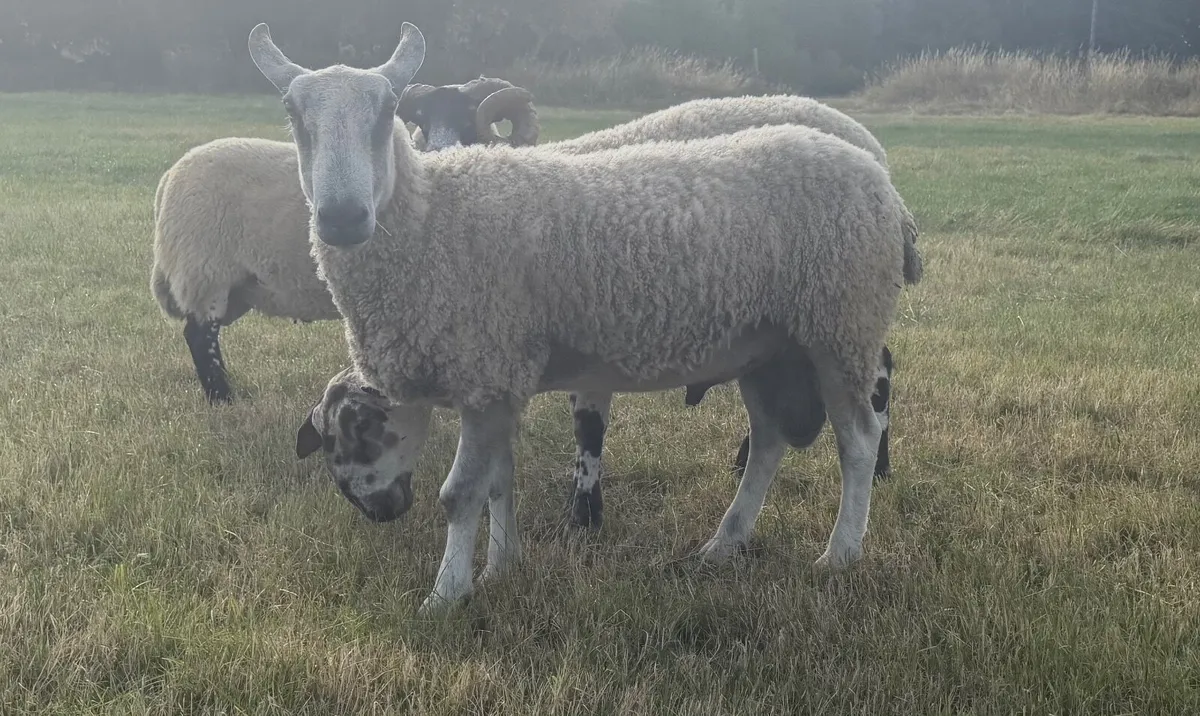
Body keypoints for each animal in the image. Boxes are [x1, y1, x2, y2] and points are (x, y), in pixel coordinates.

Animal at [150, 79, 540, 403]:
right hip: (205, 272)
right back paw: (224, 400)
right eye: (424, 124)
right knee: (200, 337)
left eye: (469, 120)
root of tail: (169, 177)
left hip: (234, 286)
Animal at [249, 21, 922, 613]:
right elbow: (500, 481)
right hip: (769, 346)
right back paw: (723, 544)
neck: (432, 219)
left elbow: (460, 494)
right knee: (770, 441)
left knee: (858, 439)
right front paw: (502, 567)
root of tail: (880, 178)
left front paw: (446, 596)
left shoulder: (486, 368)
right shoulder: (503, 376)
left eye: (387, 111)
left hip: (842, 324)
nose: (340, 219)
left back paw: (840, 553)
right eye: (293, 115)